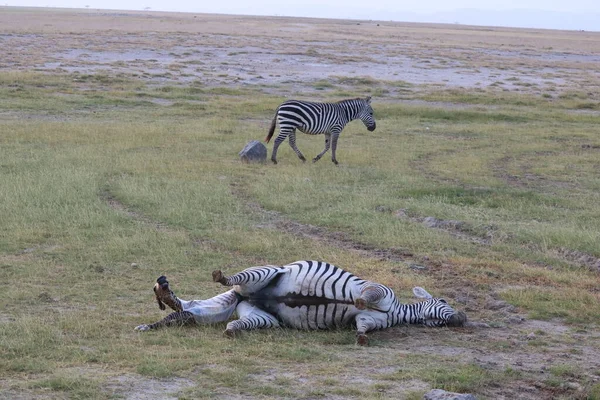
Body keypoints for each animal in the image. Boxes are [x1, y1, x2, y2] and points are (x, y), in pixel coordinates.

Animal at [134, 260, 466, 346]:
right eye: (444, 300)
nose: (463, 319)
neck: (396, 311)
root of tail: (246, 295)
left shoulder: (370, 321)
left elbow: (362, 325)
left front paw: (360, 339)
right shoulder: (380, 289)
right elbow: (365, 296)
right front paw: (358, 299)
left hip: (258, 316)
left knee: (192, 312)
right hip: (265, 272)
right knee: (230, 280)